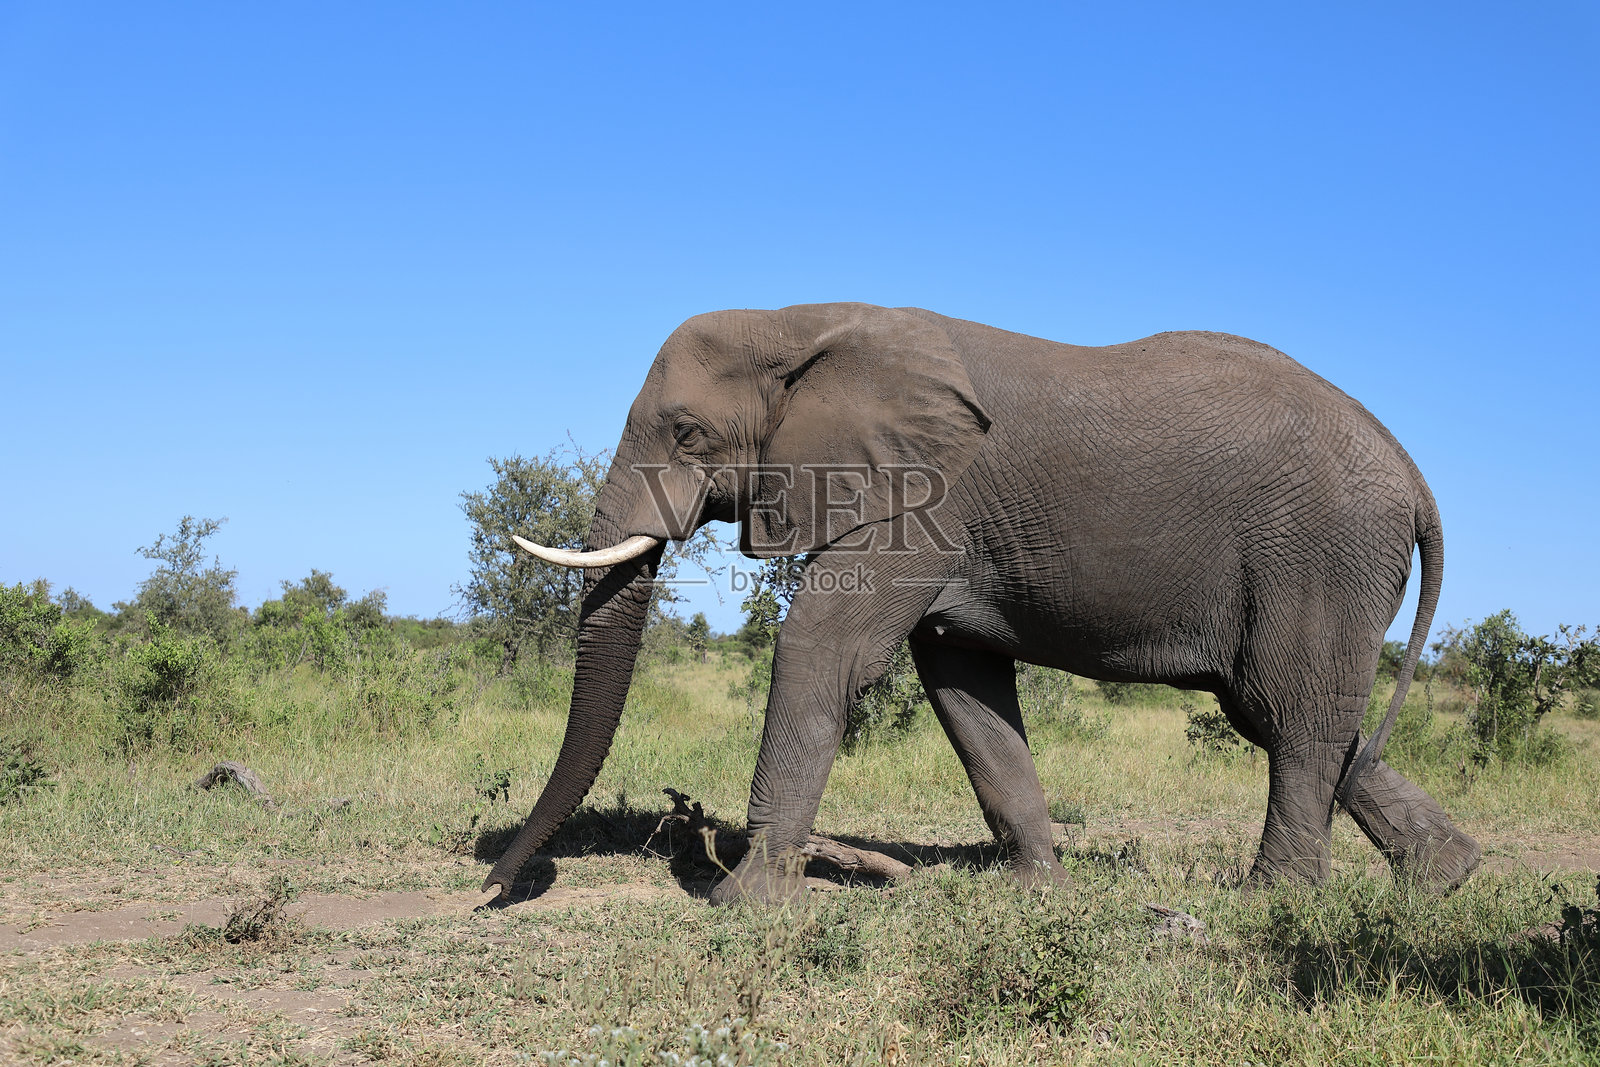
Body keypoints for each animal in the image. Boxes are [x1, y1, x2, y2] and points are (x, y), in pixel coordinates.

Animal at [482, 302, 1481, 905]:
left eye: (688, 433)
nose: (496, 885)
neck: (804, 319)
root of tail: (1414, 475)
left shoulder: (924, 495)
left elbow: (824, 649)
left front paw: (744, 903)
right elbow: (966, 688)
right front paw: (1040, 891)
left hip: (1320, 554)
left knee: (1291, 714)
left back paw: (1271, 899)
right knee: (1296, 715)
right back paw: (1448, 879)